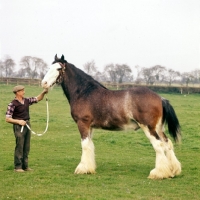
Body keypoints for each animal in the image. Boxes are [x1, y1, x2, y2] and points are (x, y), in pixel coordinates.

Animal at [41, 54, 182, 180]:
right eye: (50, 67)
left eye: (58, 69)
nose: (44, 83)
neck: (84, 92)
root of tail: (160, 98)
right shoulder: (90, 127)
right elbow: (90, 145)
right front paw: (89, 168)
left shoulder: (83, 124)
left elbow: (85, 145)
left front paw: (82, 169)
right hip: (158, 128)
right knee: (167, 143)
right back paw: (173, 170)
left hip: (149, 128)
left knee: (159, 146)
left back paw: (158, 173)